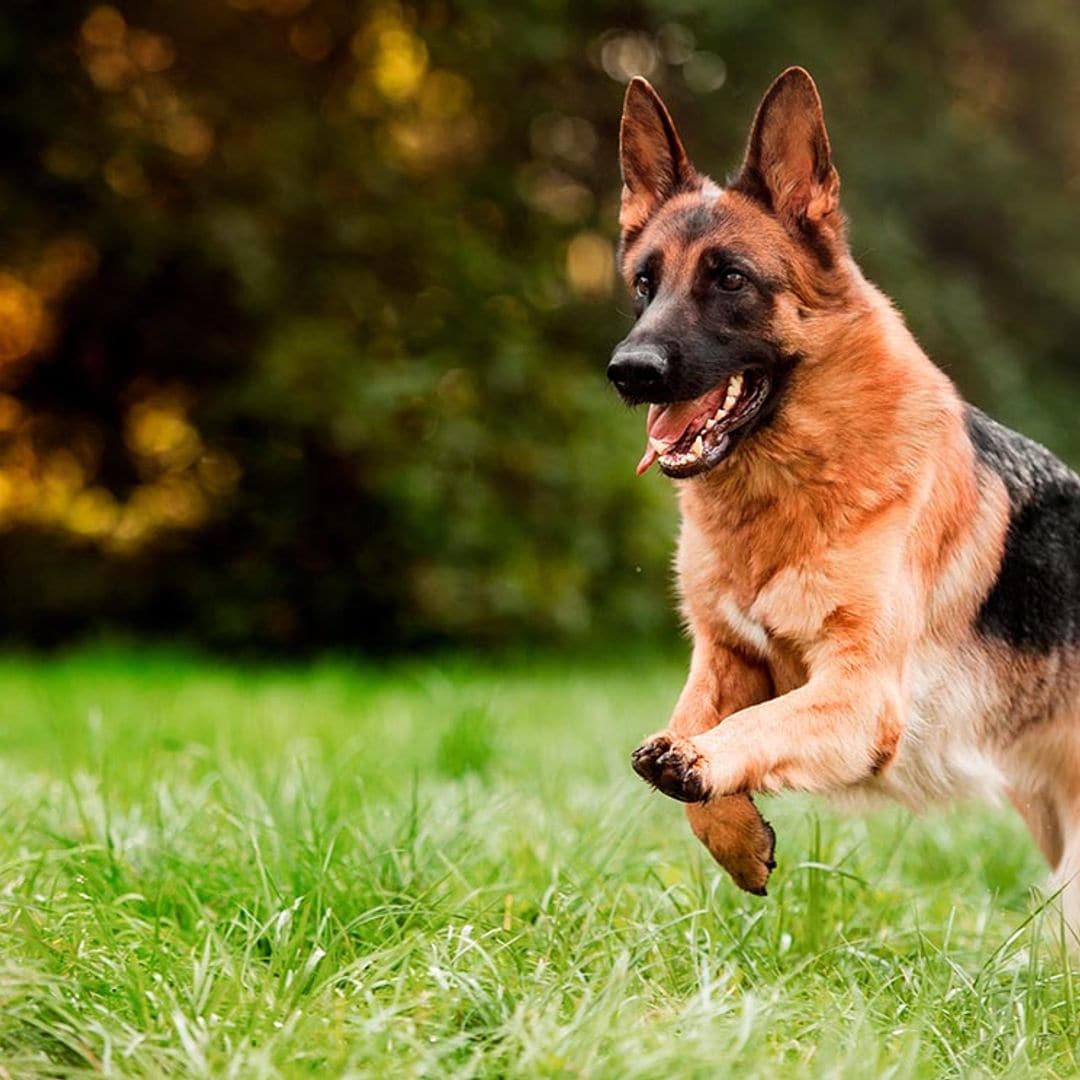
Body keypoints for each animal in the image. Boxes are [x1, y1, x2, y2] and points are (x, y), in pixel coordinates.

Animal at [609, 67, 1080, 928]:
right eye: (645, 284)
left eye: (731, 278)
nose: (629, 372)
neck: (787, 495)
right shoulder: (723, 656)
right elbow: (695, 732)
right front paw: (732, 831)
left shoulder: (859, 692)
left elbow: (757, 724)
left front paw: (705, 763)